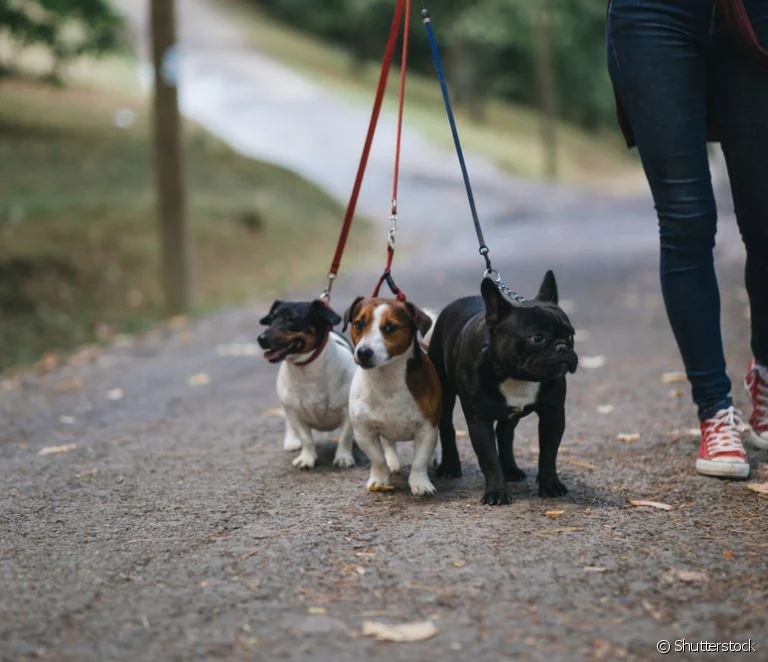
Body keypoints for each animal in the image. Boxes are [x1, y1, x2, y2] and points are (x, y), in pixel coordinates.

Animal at [256, 300, 356, 472]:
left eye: (292, 319)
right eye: (271, 319)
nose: (261, 339)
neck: (307, 370)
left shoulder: (347, 412)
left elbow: (344, 437)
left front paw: (343, 457)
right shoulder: (295, 414)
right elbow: (306, 438)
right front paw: (307, 458)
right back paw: (291, 441)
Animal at [344, 298, 444, 496]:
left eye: (390, 327)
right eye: (359, 324)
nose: (363, 352)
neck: (386, 378)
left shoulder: (426, 429)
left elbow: (419, 461)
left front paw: (420, 483)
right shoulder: (364, 432)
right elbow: (377, 459)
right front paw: (379, 479)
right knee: (389, 443)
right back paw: (393, 461)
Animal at [426, 274, 576, 508]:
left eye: (571, 336)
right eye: (537, 338)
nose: (563, 347)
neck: (516, 376)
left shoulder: (553, 414)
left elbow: (549, 452)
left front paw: (550, 484)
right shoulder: (479, 421)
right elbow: (489, 458)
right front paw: (496, 492)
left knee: (505, 434)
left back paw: (511, 470)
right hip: (445, 390)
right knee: (447, 425)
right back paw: (450, 466)